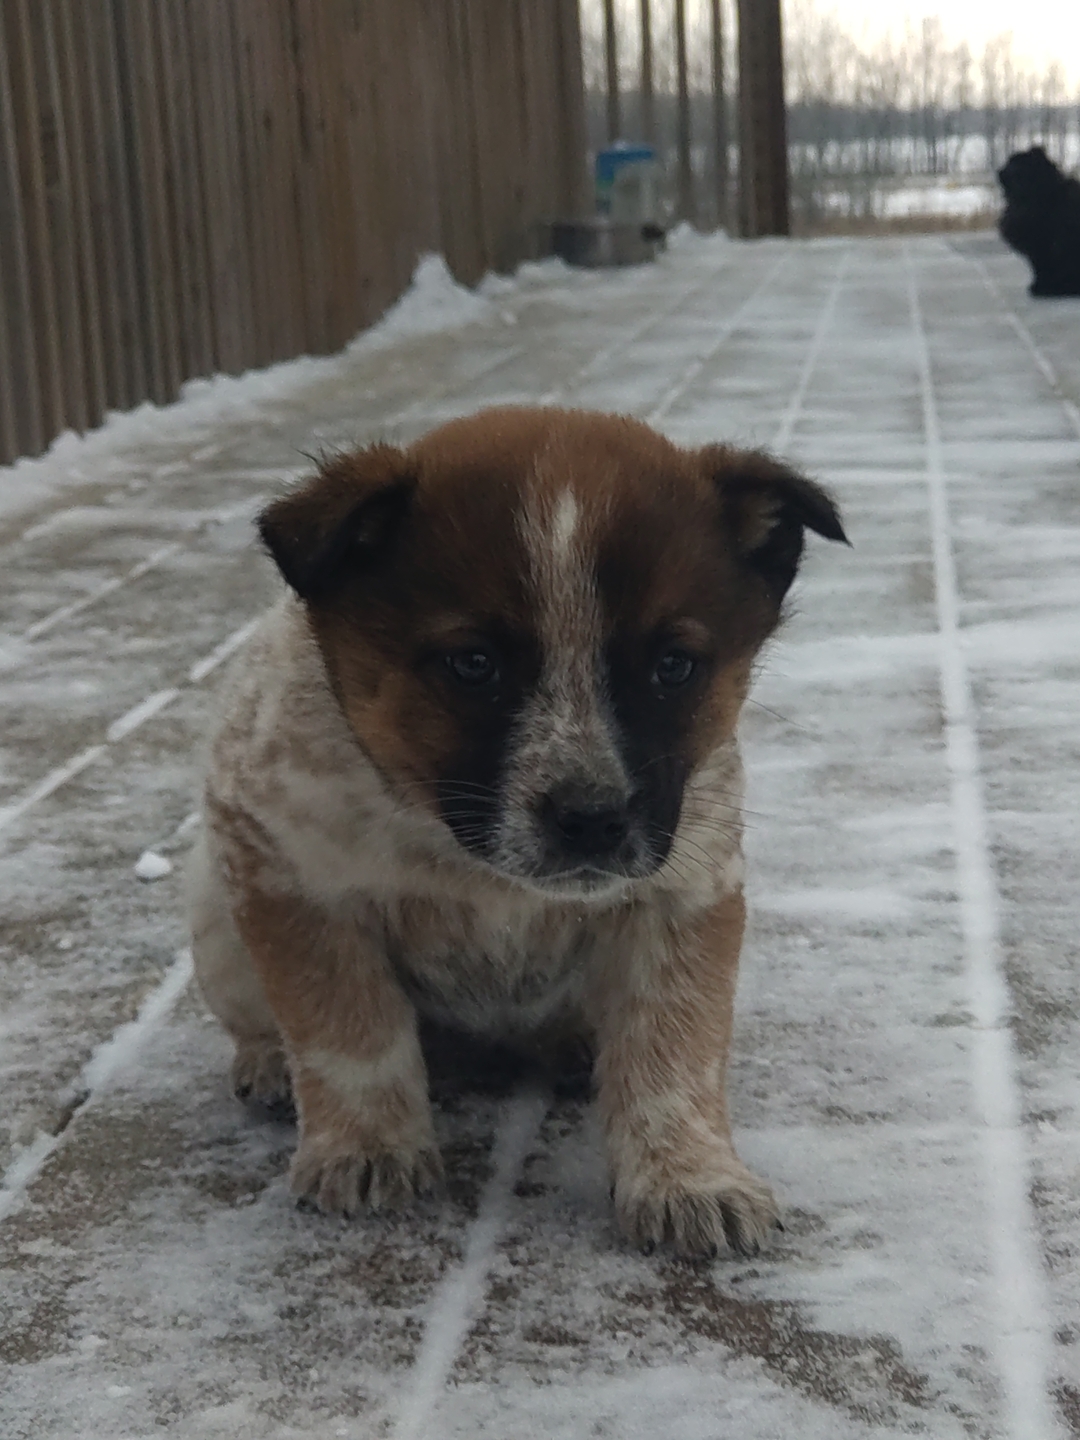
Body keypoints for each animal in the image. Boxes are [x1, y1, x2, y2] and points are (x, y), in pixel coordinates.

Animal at [996, 144, 1080, 296]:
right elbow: (1037, 268)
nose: (999, 171)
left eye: (1015, 164)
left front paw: (1043, 288)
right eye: (1008, 162)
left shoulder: (1044, 242)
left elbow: (1044, 266)